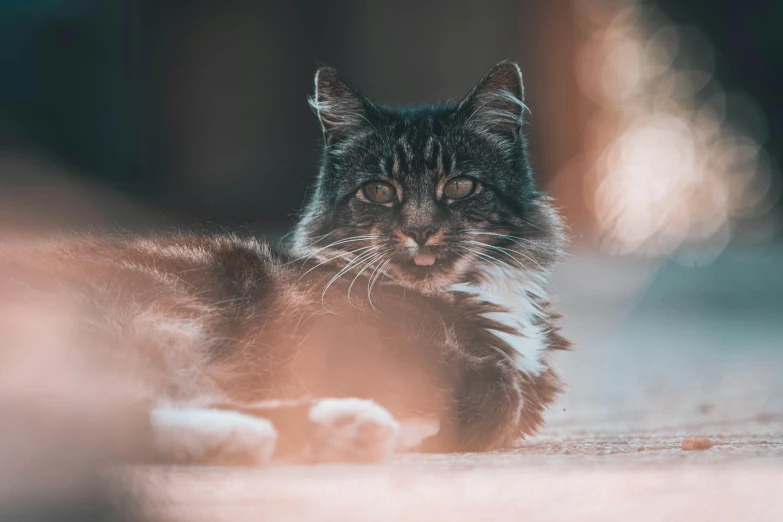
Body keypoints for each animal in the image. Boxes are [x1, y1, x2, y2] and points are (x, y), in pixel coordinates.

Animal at [0, 61, 568, 464]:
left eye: (461, 186)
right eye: (379, 191)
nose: (421, 228)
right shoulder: (330, 336)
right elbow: (496, 392)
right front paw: (435, 419)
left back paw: (334, 432)